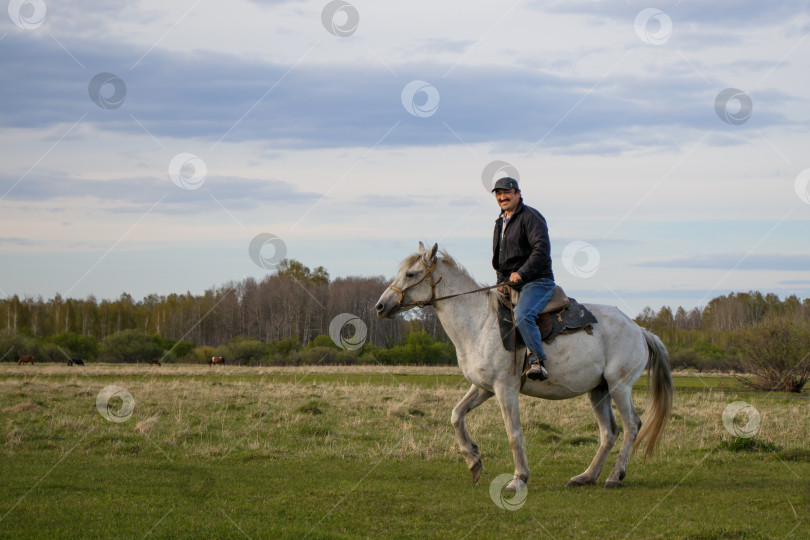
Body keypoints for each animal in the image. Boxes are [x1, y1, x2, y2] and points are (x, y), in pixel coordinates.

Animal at [376, 243, 672, 492]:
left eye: (411, 274)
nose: (380, 306)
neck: (480, 323)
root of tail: (640, 330)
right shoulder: (483, 387)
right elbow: (456, 415)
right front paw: (473, 461)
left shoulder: (505, 389)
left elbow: (513, 434)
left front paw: (518, 479)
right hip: (598, 390)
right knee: (609, 432)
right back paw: (586, 476)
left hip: (619, 387)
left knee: (632, 426)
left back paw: (614, 477)